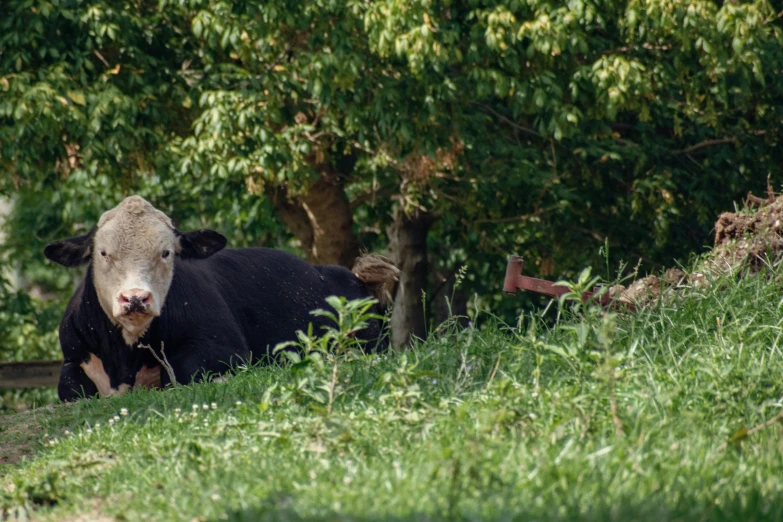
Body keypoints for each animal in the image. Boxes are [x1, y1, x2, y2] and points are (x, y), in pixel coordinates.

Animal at [43, 193, 398, 400]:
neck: (125, 357)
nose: (135, 298)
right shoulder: (73, 359)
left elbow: (182, 372)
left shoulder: (223, 349)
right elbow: (70, 387)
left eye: (166, 253)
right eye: (103, 253)